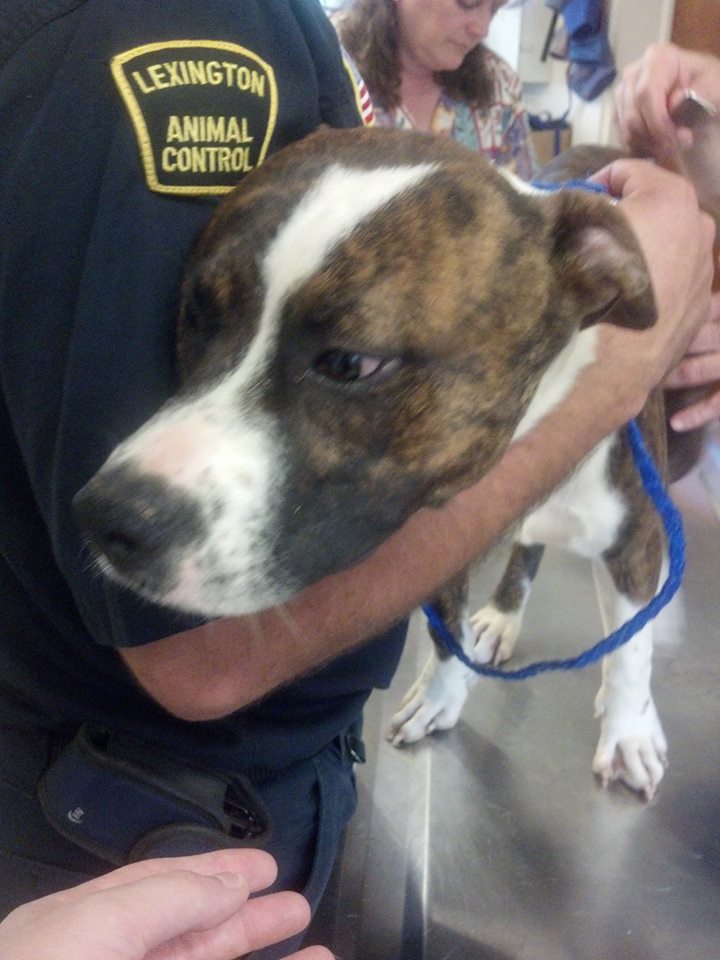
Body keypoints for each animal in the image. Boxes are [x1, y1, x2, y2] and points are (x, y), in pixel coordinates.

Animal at [74, 127, 668, 800]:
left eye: (350, 364)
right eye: (197, 316)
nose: (105, 516)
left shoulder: (639, 535)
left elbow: (631, 647)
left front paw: (629, 730)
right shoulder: (445, 528)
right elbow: (445, 630)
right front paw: (444, 693)